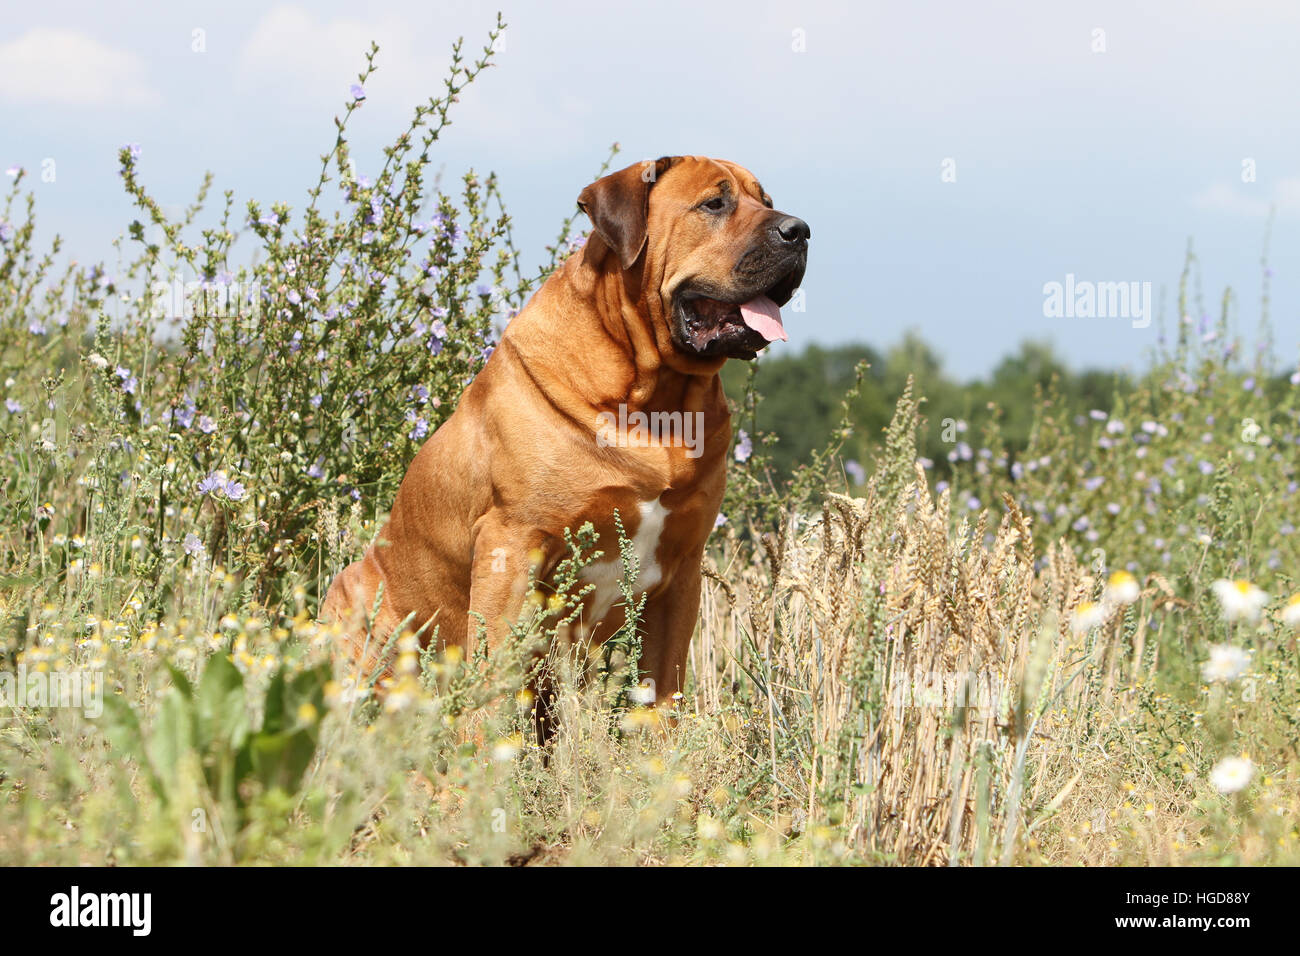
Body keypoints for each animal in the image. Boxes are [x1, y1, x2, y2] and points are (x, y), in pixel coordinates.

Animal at [319, 157, 806, 723]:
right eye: (714, 203)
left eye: (766, 201)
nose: (800, 230)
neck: (655, 399)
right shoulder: (510, 545)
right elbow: (492, 683)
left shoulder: (681, 574)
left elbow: (663, 690)